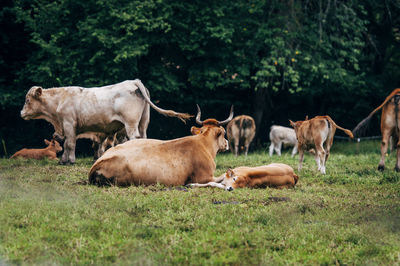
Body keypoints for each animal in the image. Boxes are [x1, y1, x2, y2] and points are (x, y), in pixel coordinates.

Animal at [20, 79, 192, 164]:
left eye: (27, 100)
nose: (21, 113)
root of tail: (133, 81)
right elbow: (68, 144)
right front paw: (64, 160)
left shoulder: (69, 124)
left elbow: (70, 144)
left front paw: (70, 161)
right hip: (143, 121)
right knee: (144, 137)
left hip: (130, 123)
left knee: (134, 138)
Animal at [86, 105, 231, 186]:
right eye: (224, 132)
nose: (227, 143)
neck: (203, 143)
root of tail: (97, 164)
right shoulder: (204, 177)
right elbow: (223, 176)